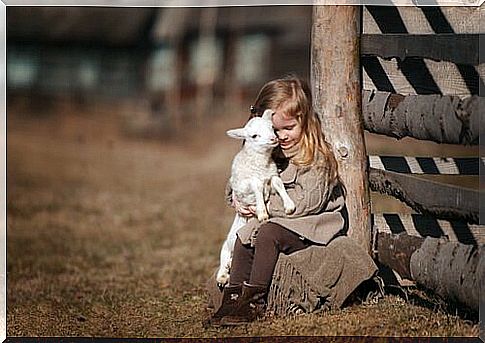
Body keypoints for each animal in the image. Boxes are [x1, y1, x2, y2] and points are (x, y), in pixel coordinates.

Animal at [216, 110, 294, 288]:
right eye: (254, 136)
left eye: (272, 127)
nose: (273, 139)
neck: (261, 165)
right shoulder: (243, 186)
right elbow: (257, 185)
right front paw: (262, 212)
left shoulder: (272, 175)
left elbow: (279, 183)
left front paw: (289, 205)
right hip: (227, 244)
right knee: (223, 257)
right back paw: (222, 276)